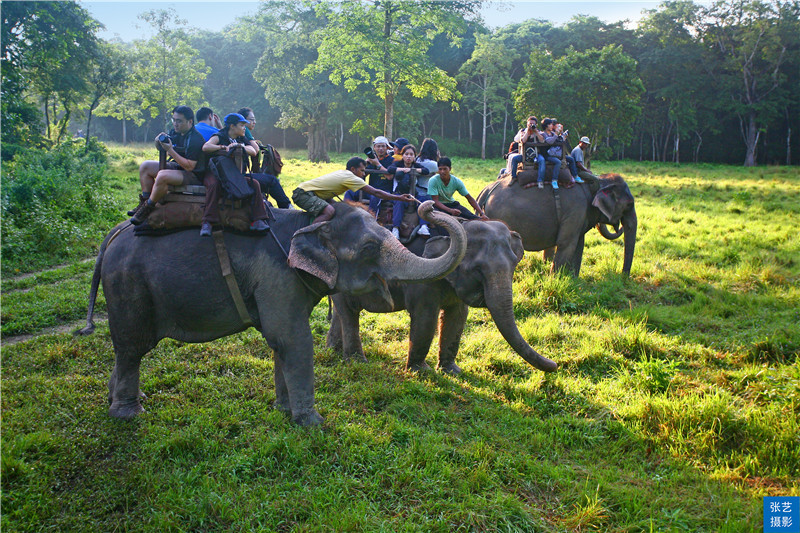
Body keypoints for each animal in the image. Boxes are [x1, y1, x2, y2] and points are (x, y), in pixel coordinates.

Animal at [77, 202, 466, 426]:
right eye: (370, 247)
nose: (428, 207)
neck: (307, 223)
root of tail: (112, 236)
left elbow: (282, 342)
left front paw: (283, 412)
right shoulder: (277, 276)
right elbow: (294, 339)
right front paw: (312, 423)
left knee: (125, 349)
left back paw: (126, 401)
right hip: (128, 286)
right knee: (132, 347)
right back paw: (128, 414)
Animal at [324, 220, 556, 374]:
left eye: (514, 264)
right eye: (478, 270)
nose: (556, 365)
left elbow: (458, 317)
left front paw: (452, 371)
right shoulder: (423, 282)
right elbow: (426, 317)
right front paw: (421, 371)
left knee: (341, 313)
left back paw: (333, 351)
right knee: (349, 313)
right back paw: (356, 362)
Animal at [476, 172, 636, 276]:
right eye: (629, 204)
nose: (623, 277)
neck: (597, 182)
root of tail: (486, 191)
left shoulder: (579, 215)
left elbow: (579, 244)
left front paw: (573, 280)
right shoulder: (575, 209)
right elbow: (566, 244)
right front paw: (555, 279)